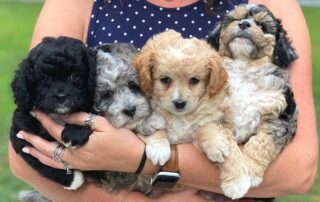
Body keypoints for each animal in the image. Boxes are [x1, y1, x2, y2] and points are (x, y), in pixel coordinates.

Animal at [10, 37, 97, 190]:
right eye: (45, 78)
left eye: (75, 76)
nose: (61, 96)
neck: (58, 115)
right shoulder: (21, 134)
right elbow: (41, 163)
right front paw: (73, 179)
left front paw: (75, 132)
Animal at [134, 30, 251, 199]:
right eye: (165, 80)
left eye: (194, 80)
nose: (179, 103)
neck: (180, 117)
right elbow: (153, 125)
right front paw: (159, 147)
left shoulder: (212, 121)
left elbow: (206, 128)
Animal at [208, 3, 298, 198]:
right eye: (235, 19)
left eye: (262, 26)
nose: (243, 24)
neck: (245, 67)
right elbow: (227, 145)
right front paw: (236, 180)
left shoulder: (282, 115)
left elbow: (262, 141)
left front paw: (250, 170)